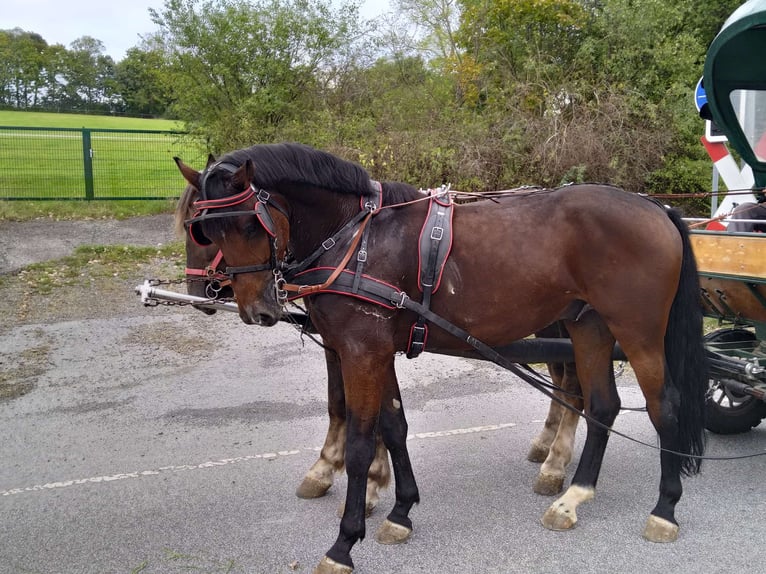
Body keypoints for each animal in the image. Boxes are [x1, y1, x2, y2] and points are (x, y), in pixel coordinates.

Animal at [177, 179, 584, 504]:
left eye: (200, 232)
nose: (197, 291)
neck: (350, 240)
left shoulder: (363, 346)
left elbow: (361, 412)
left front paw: (355, 476)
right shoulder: (349, 344)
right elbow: (357, 409)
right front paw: (355, 473)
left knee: (575, 385)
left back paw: (555, 463)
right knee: (563, 377)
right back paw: (546, 445)